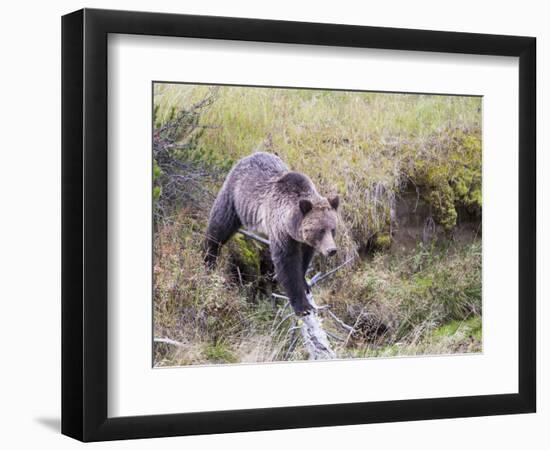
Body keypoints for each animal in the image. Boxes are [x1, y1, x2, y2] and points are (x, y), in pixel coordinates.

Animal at [205, 153, 338, 314]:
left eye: (333, 229)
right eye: (321, 230)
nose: (331, 250)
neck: (292, 225)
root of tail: (249, 156)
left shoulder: (304, 241)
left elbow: (304, 259)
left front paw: (305, 283)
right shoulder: (280, 231)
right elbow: (287, 263)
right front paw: (303, 306)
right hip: (233, 197)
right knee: (218, 227)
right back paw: (209, 259)